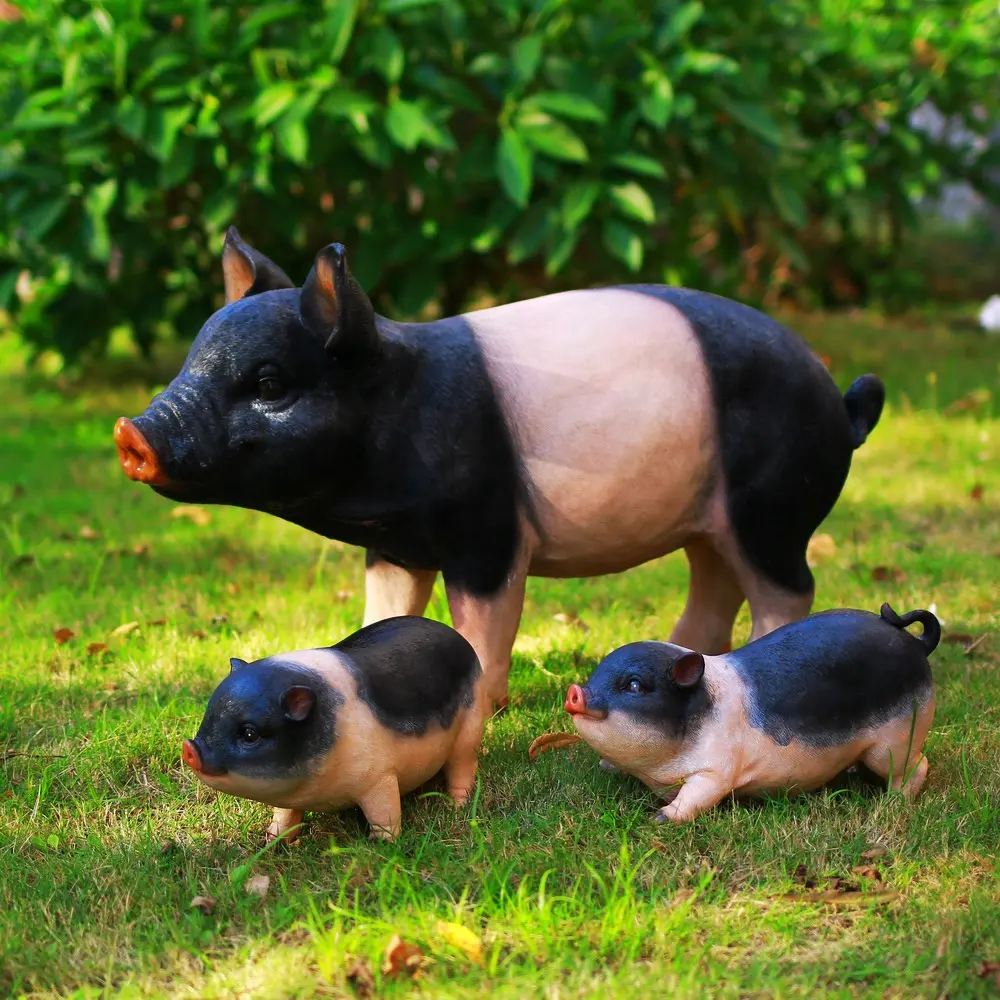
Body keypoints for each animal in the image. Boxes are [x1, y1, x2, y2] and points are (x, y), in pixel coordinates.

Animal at [115, 230, 884, 708]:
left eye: (271, 382)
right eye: (191, 360)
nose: (131, 433)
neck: (399, 413)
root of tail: (840, 401)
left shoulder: (489, 532)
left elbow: (485, 621)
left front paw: (484, 705)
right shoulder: (395, 544)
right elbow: (386, 607)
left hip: (771, 509)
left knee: (789, 588)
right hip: (710, 517)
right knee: (716, 577)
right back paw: (683, 648)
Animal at [187, 616, 488, 836]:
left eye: (250, 734)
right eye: (209, 715)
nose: (190, 749)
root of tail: (460, 639)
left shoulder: (380, 776)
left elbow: (385, 814)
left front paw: (383, 845)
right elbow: (285, 817)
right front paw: (272, 840)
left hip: (471, 725)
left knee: (463, 766)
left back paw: (456, 806)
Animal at [572, 600, 936, 820]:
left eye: (634, 686)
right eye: (595, 675)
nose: (575, 692)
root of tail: (916, 643)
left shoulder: (718, 768)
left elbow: (699, 794)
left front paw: (660, 817)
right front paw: (606, 767)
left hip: (896, 738)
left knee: (918, 766)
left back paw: (893, 805)